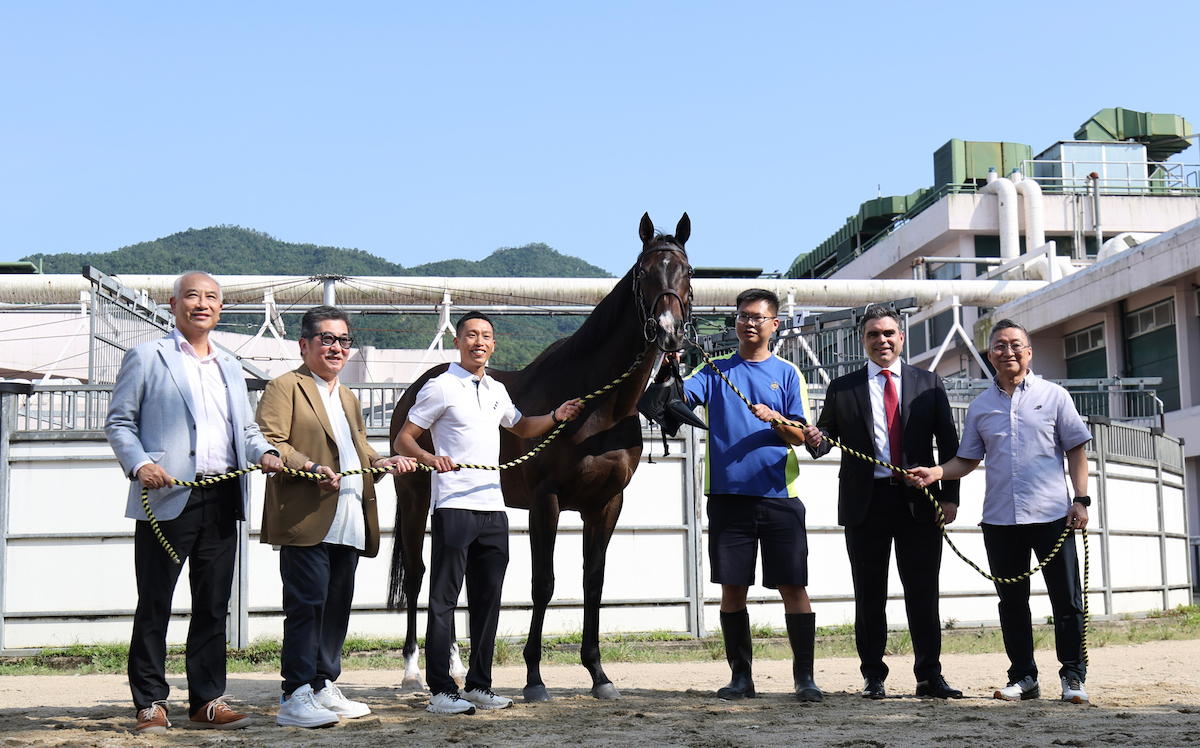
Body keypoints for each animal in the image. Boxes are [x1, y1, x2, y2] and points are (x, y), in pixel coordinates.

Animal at [388, 212, 696, 701]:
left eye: (686, 271)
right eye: (644, 273)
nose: (668, 330)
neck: (598, 405)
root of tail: (414, 390)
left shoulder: (606, 504)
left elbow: (594, 582)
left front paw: (599, 675)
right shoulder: (545, 502)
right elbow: (543, 583)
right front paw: (534, 678)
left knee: (444, 575)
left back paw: (454, 665)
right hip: (415, 496)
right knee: (418, 573)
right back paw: (413, 673)